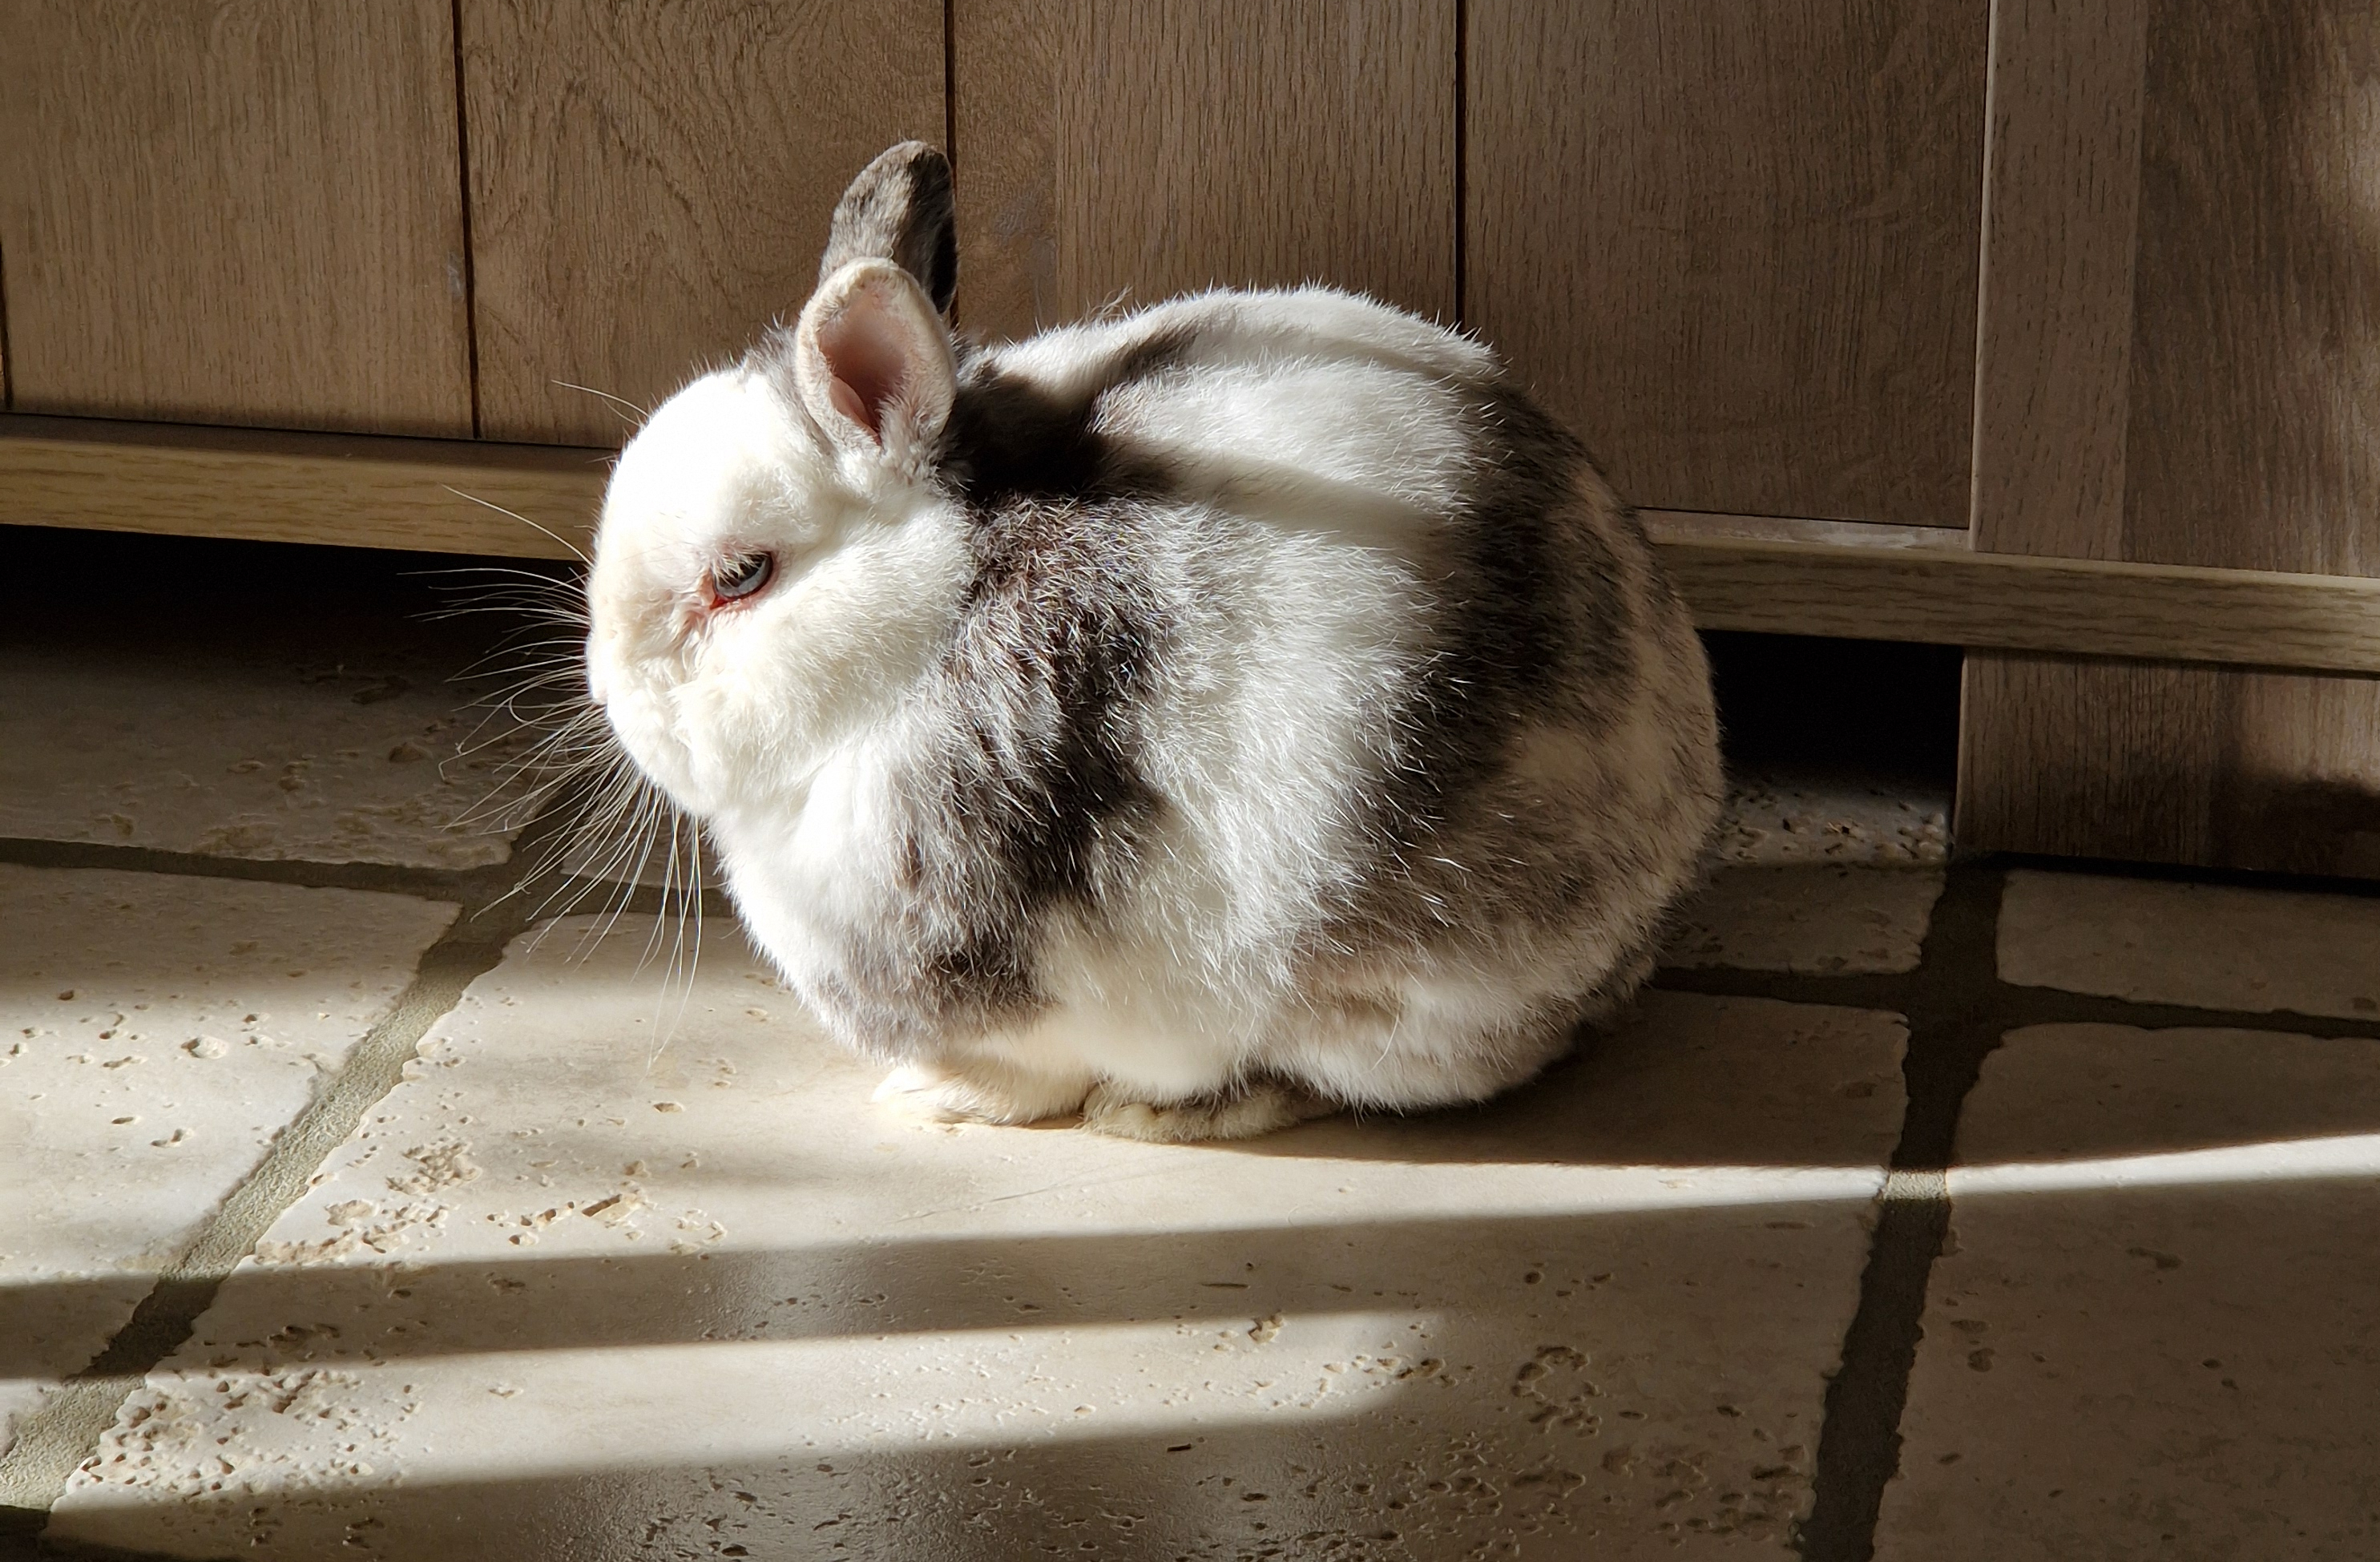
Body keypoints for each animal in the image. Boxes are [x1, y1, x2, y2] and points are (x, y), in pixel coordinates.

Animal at [582, 141, 1722, 1142]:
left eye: (741, 576)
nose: (614, 698)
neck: (933, 627)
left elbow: (1023, 1067)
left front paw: (934, 1096)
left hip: (1383, 989)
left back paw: (1162, 1114)